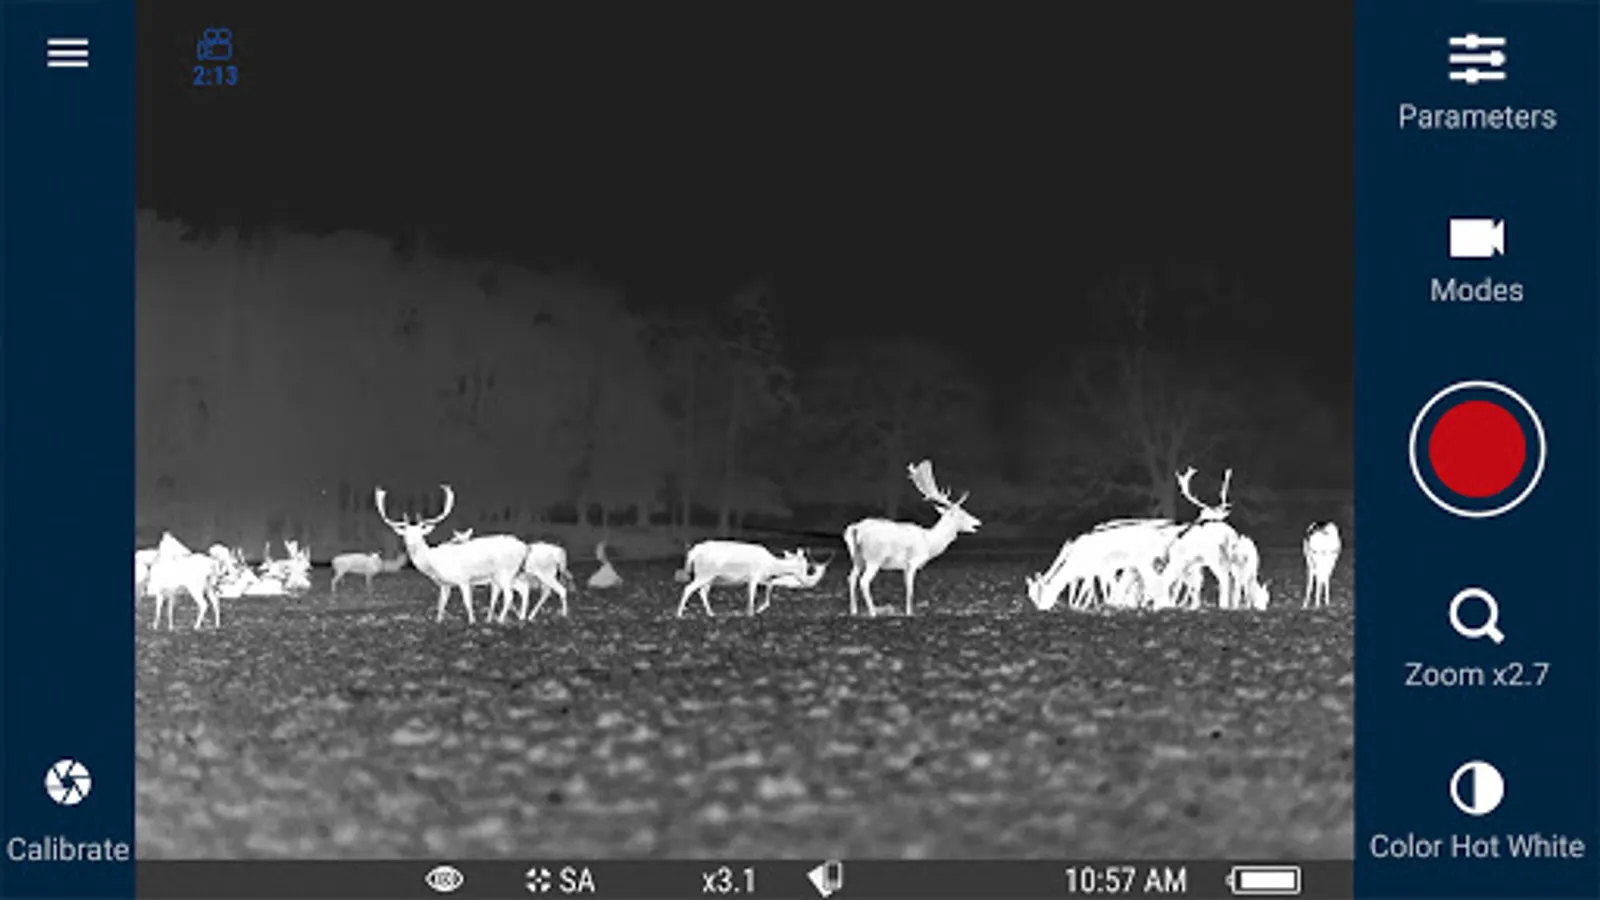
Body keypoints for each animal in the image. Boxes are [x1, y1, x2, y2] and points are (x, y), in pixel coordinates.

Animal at [373, 484, 528, 624]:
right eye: (405, 534)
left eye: (420, 534)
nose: (410, 544)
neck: (434, 564)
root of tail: (524, 547)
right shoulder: (444, 584)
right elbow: (441, 605)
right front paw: (438, 621)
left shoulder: (464, 579)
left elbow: (467, 603)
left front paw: (472, 622)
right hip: (508, 575)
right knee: (523, 588)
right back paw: (520, 618)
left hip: (505, 572)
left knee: (510, 595)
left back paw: (501, 620)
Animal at [675, 541, 826, 618]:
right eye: (806, 566)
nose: (808, 582)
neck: (770, 565)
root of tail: (694, 551)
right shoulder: (753, 577)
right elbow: (752, 595)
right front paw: (750, 613)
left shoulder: (761, 578)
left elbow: (769, 586)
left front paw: (759, 609)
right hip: (705, 574)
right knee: (688, 588)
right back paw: (679, 614)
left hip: (708, 577)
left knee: (702, 592)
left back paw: (711, 613)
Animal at [844, 459, 980, 617]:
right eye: (962, 514)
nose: (978, 523)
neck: (929, 543)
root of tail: (855, 528)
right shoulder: (913, 562)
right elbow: (910, 590)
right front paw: (910, 613)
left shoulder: (905, 566)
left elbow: (907, 588)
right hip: (874, 558)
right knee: (864, 581)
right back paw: (873, 612)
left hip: (857, 558)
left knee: (851, 578)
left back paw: (853, 611)